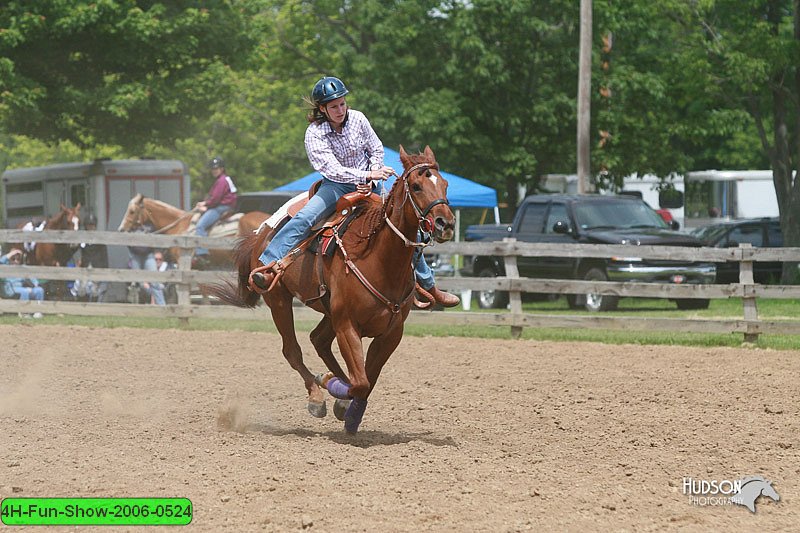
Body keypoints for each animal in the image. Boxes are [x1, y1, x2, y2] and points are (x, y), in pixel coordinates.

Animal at [206, 145, 454, 432]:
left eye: (445, 184)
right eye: (416, 186)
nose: (445, 224)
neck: (376, 258)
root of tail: (262, 232)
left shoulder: (391, 333)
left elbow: (367, 381)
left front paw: (350, 413)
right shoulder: (347, 325)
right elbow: (361, 382)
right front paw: (331, 387)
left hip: (328, 311)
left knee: (319, 340)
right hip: (279, 300)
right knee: (293, 350)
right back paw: (316, 396)